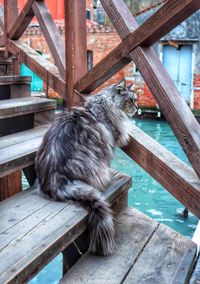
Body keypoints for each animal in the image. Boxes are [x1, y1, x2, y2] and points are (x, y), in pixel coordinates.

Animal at [35, 79, 138, 256]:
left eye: (135, 100)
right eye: (131, 100)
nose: (137, 107)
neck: (104, 105)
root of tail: (54, 180)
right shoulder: (110, 144)